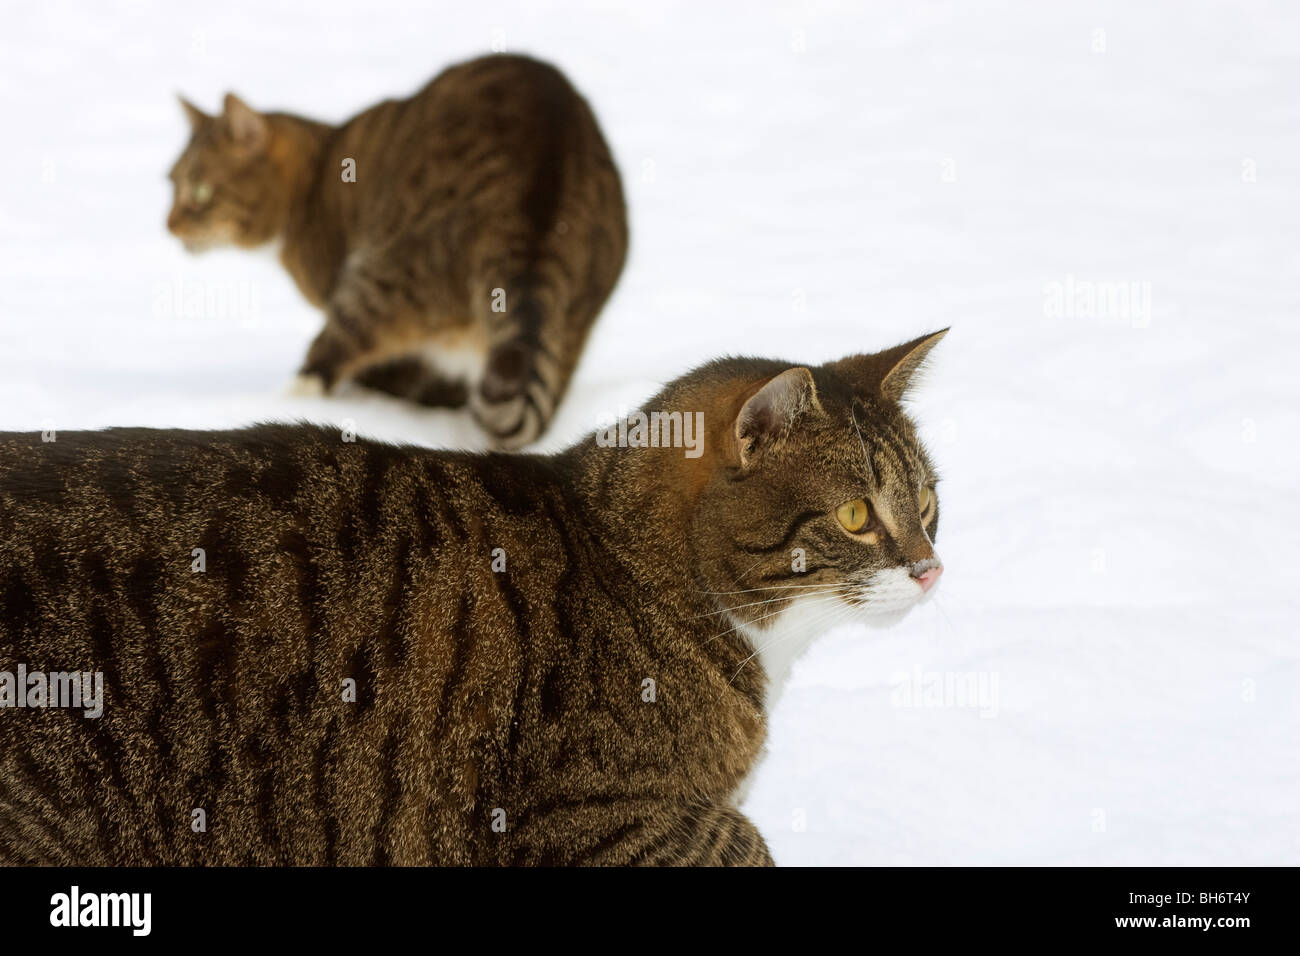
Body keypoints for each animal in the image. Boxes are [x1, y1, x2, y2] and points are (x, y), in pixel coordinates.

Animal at [165, 55, 631, 447]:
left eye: (200, 192)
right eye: (172, 183)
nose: (168, 225)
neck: (314, 176)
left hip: (383, 275)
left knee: (326, 360)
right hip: (573, 321)